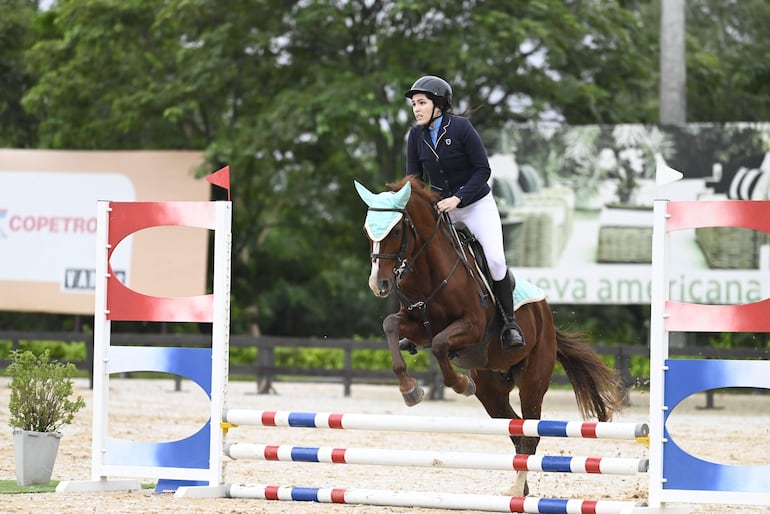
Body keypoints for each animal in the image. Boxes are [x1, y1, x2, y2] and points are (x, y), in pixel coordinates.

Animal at [354, 174, 624, 494]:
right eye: (367, 230)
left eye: (396, 231)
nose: (379, 284)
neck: (428, 270)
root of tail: (545, 313)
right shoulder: (417, 327)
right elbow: (391, 326)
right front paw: (410, 389)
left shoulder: (471, 327)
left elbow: (441, 345)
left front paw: (459, 384)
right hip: (491, 389)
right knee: (516, 428)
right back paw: (521, 487)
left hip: (533, 380)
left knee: (530, 431)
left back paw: (516, 490)